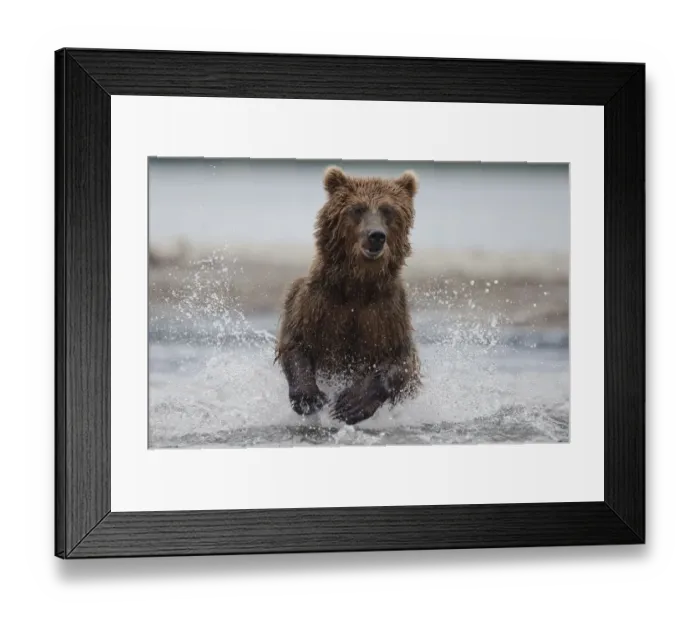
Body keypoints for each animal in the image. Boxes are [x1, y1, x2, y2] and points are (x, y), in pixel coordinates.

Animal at [274, 165, 421, 425]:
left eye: (388, 210)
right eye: (358, 208)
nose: (376, 235)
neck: (358, 285)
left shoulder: (388, 313)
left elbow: (401, 360)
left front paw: (352, 403)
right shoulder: (317, 303)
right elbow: (295, 343)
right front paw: (309, 396)